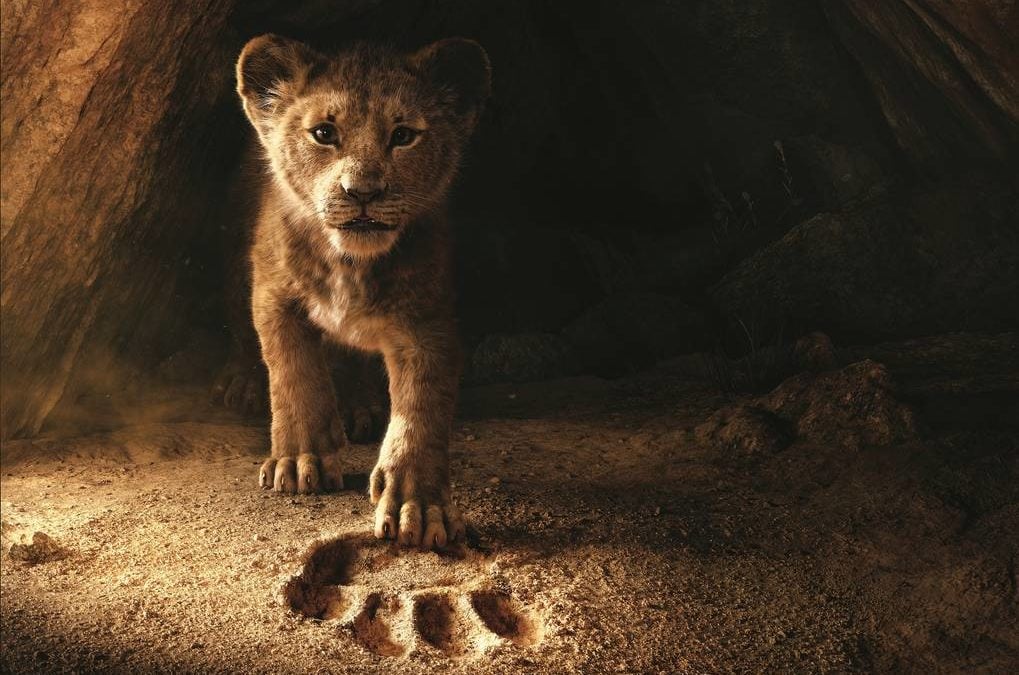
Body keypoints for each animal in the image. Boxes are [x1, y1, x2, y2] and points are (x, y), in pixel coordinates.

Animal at [232, 35, 491, 549]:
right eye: (324, 133)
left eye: (404, 135)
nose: (363, 192)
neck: (350, 263)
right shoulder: (272, 294)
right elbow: (294, 374)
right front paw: (300, 460)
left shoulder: (428, 321)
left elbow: (421, 409)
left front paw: (419, 505)